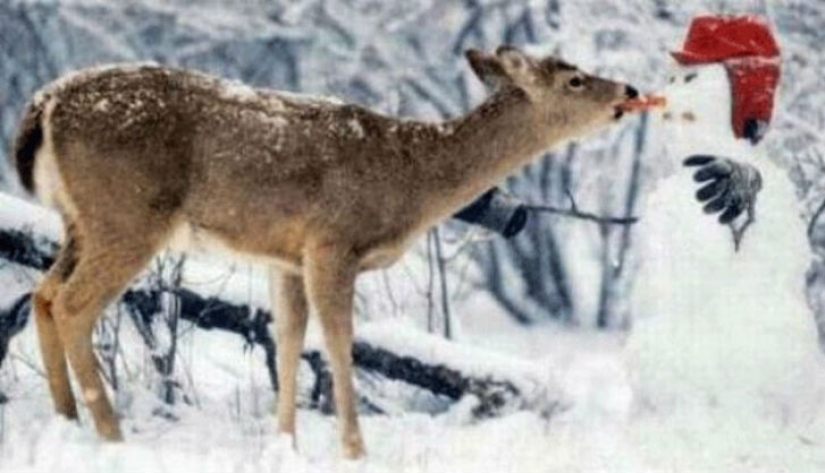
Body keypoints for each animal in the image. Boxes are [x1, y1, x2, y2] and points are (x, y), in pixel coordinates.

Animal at [8, 46, 636, 460]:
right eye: (576, 79)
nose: (630, 92)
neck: (410, 177)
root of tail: (45, 102)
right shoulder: (334, 241)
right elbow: (338, 343)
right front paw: (355, 450)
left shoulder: (286, 256)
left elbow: (288, 341)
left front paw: (284, 444)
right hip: (130, 214)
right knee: (73, 305)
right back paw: (112, 436)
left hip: (81, 221)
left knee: (42, 294)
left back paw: (66, 421)